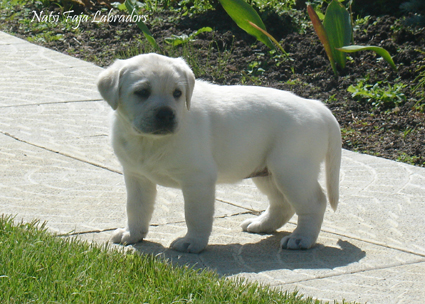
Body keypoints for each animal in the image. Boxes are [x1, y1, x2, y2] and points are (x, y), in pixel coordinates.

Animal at [97, 53, 342, 253]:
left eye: (177, 93)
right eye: (141, 92)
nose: (166, 114)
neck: (149, 141)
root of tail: (316, 105)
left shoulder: (198, 179)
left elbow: (195, 214)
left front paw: (192, 243)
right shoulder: (136, 176)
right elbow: (136, 207)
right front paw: (132, 234)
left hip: (291, 170)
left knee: (314, 203)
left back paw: (302, 239)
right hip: (268, 171)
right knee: (283, 204)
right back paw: (262, 224)